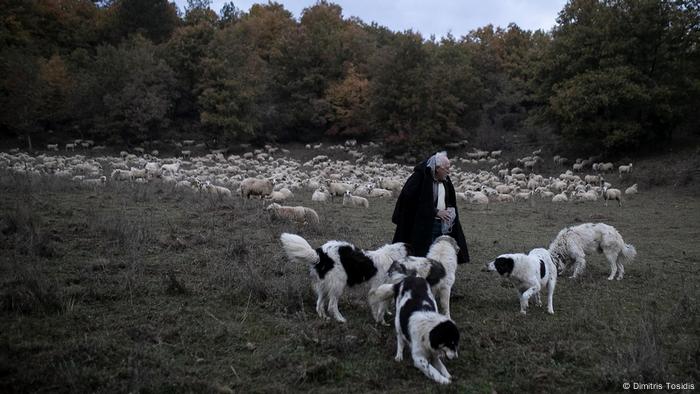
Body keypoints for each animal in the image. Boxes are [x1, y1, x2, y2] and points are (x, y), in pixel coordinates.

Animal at [278, 232, 410, 322]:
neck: (392, 256)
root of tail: (320, 254)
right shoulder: (376, 288)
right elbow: (378, 305)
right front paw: (379, 319)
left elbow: (385, 302)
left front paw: (386, 313)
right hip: (338, 284)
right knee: (331, 305)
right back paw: (340, 319)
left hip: (326, 285)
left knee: (319, 303)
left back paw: (324, 317)